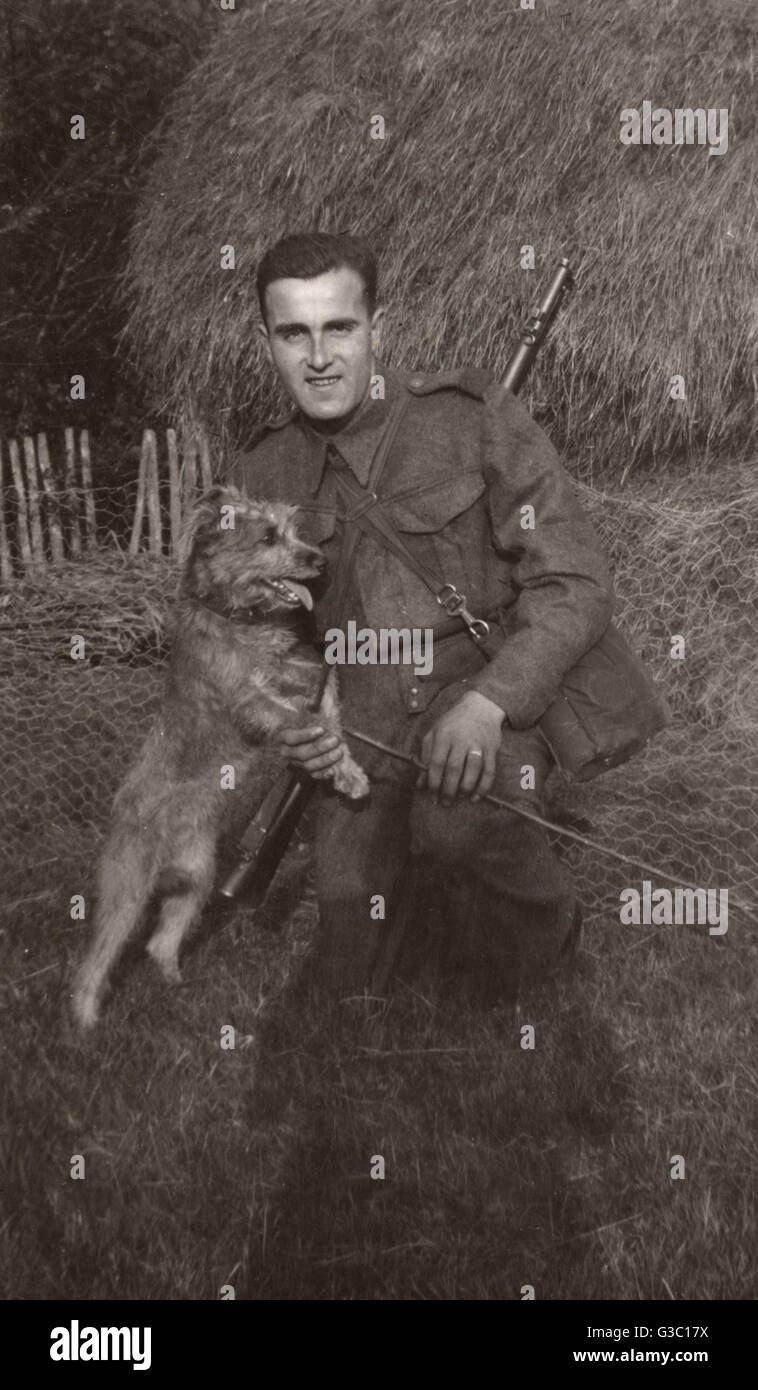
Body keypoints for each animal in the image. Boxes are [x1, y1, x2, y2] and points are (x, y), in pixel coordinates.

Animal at [70, 483, 367, 1028]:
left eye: (293, 529)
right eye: (269, 537)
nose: (320, 560)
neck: (236, 615)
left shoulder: (296, 669)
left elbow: (327, 684)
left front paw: (345, 768)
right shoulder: (252, 700)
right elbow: (307, 721)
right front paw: (334, 759)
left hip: (198, 881)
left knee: (161, 940)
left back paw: (173, 984)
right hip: (127, 894)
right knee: (98, 957)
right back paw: (83, 1021)